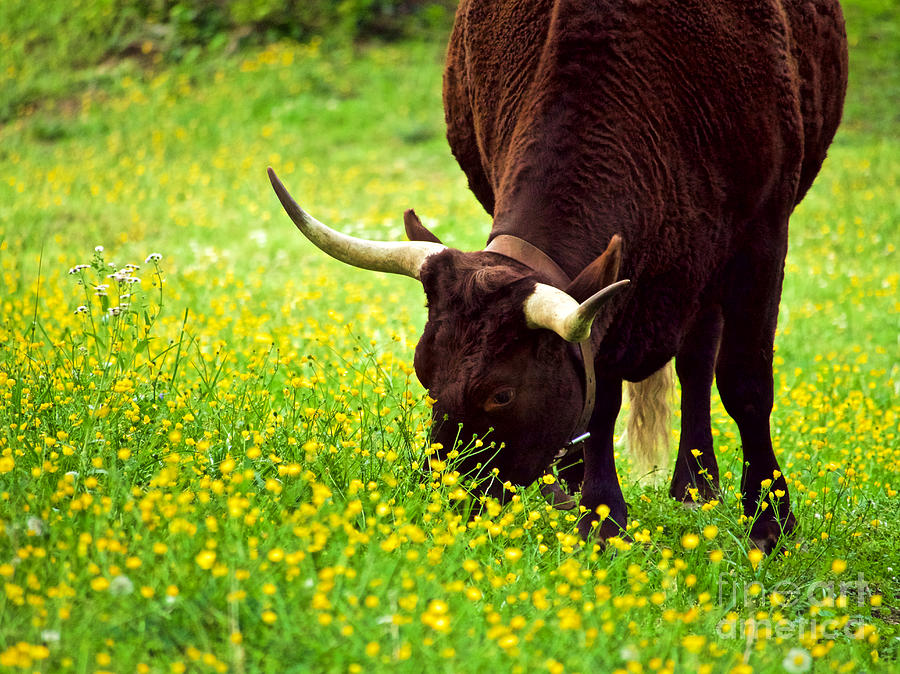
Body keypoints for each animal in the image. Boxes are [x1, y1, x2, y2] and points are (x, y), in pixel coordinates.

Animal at [270, 0, 848, 552]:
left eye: (501, 395)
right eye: (422, 373)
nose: (445, 503)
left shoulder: (763, 233)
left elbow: (745, 382)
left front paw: (770, 523)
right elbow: (599, 394)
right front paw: (602, 514)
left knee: (698, 362)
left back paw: (695, 487)